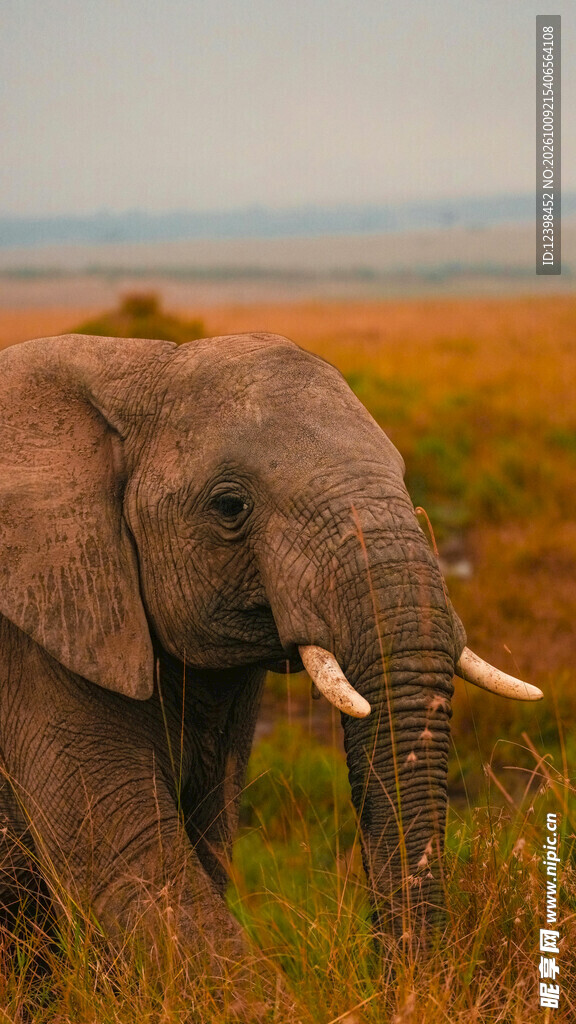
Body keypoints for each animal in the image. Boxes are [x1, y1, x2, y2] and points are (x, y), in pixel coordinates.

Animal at [0, 332, 541, 1009]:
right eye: (230, 506)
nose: (405, 989)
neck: (138, 368)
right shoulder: (42, 634)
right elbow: (131, 858)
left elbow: (204, 843)